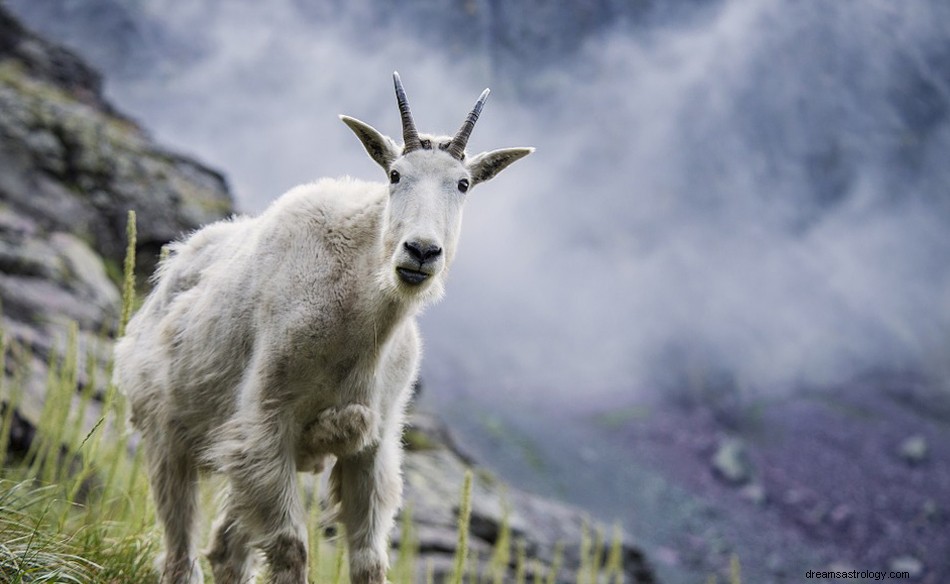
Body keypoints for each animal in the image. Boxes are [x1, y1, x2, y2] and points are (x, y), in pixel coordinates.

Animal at [112, 74, 536, 584]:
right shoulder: (267, 420)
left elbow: (369, 560)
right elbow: (292, 550)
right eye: (395, 175)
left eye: (463, 183)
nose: (420, 252)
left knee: (226, 548)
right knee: (182, 547)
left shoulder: (371, 445)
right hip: (166, 429)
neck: (362, 320)